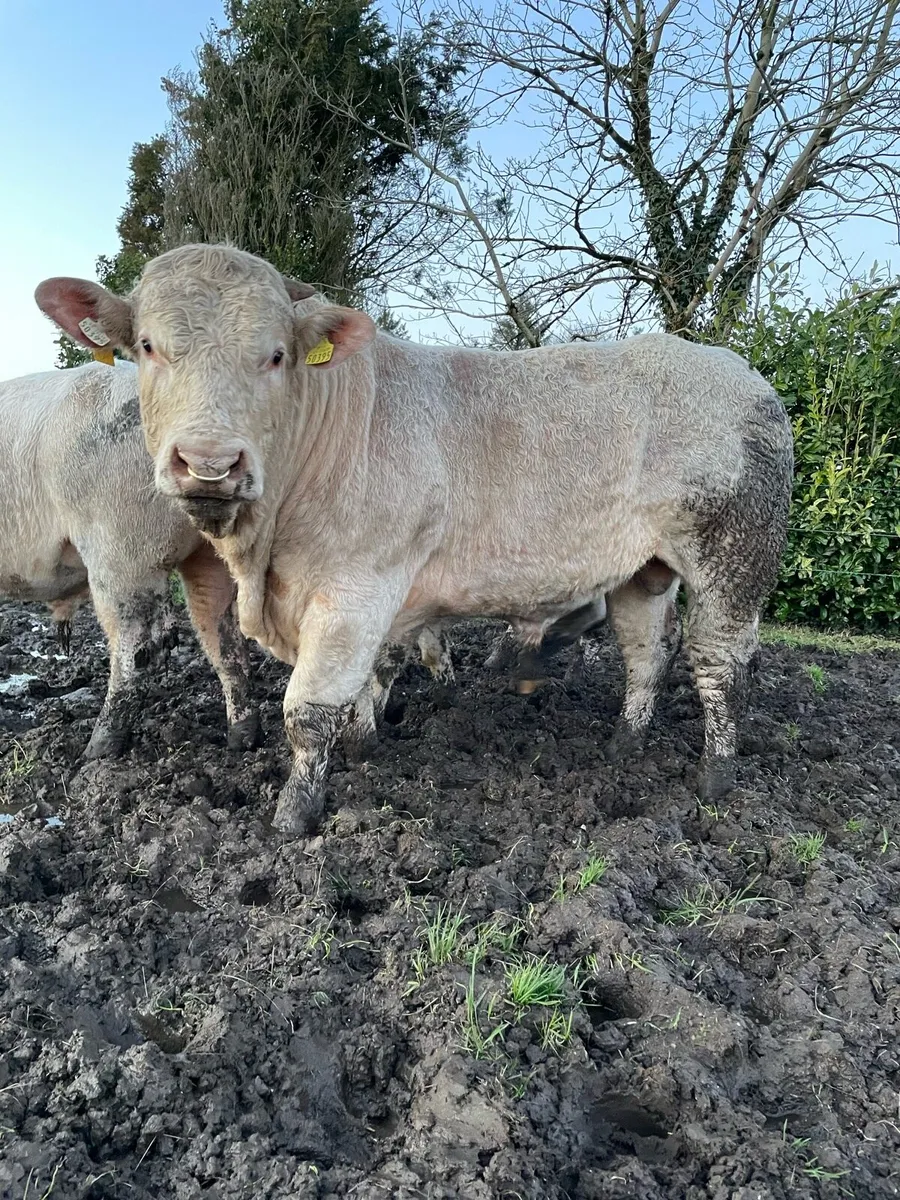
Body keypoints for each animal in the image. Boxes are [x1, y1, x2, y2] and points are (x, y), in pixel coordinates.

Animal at [0, 361, 258, 758]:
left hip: (120, 546)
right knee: (222, 633)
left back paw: (96, 750)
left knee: (139, 648)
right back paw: (242, 739)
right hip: (207, 551)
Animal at [36, 245, 793, 834]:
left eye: (276, 356)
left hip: (732, 557)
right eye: (147, 347)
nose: (210, 463)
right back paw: (623, 745)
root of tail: (745, 374)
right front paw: (365, 744)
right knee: (645, 654)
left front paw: (294, 816)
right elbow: (368, 683)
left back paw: (716, 779)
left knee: (717, 663)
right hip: (646, 569)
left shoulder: (355, 589)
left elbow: (308, 710)